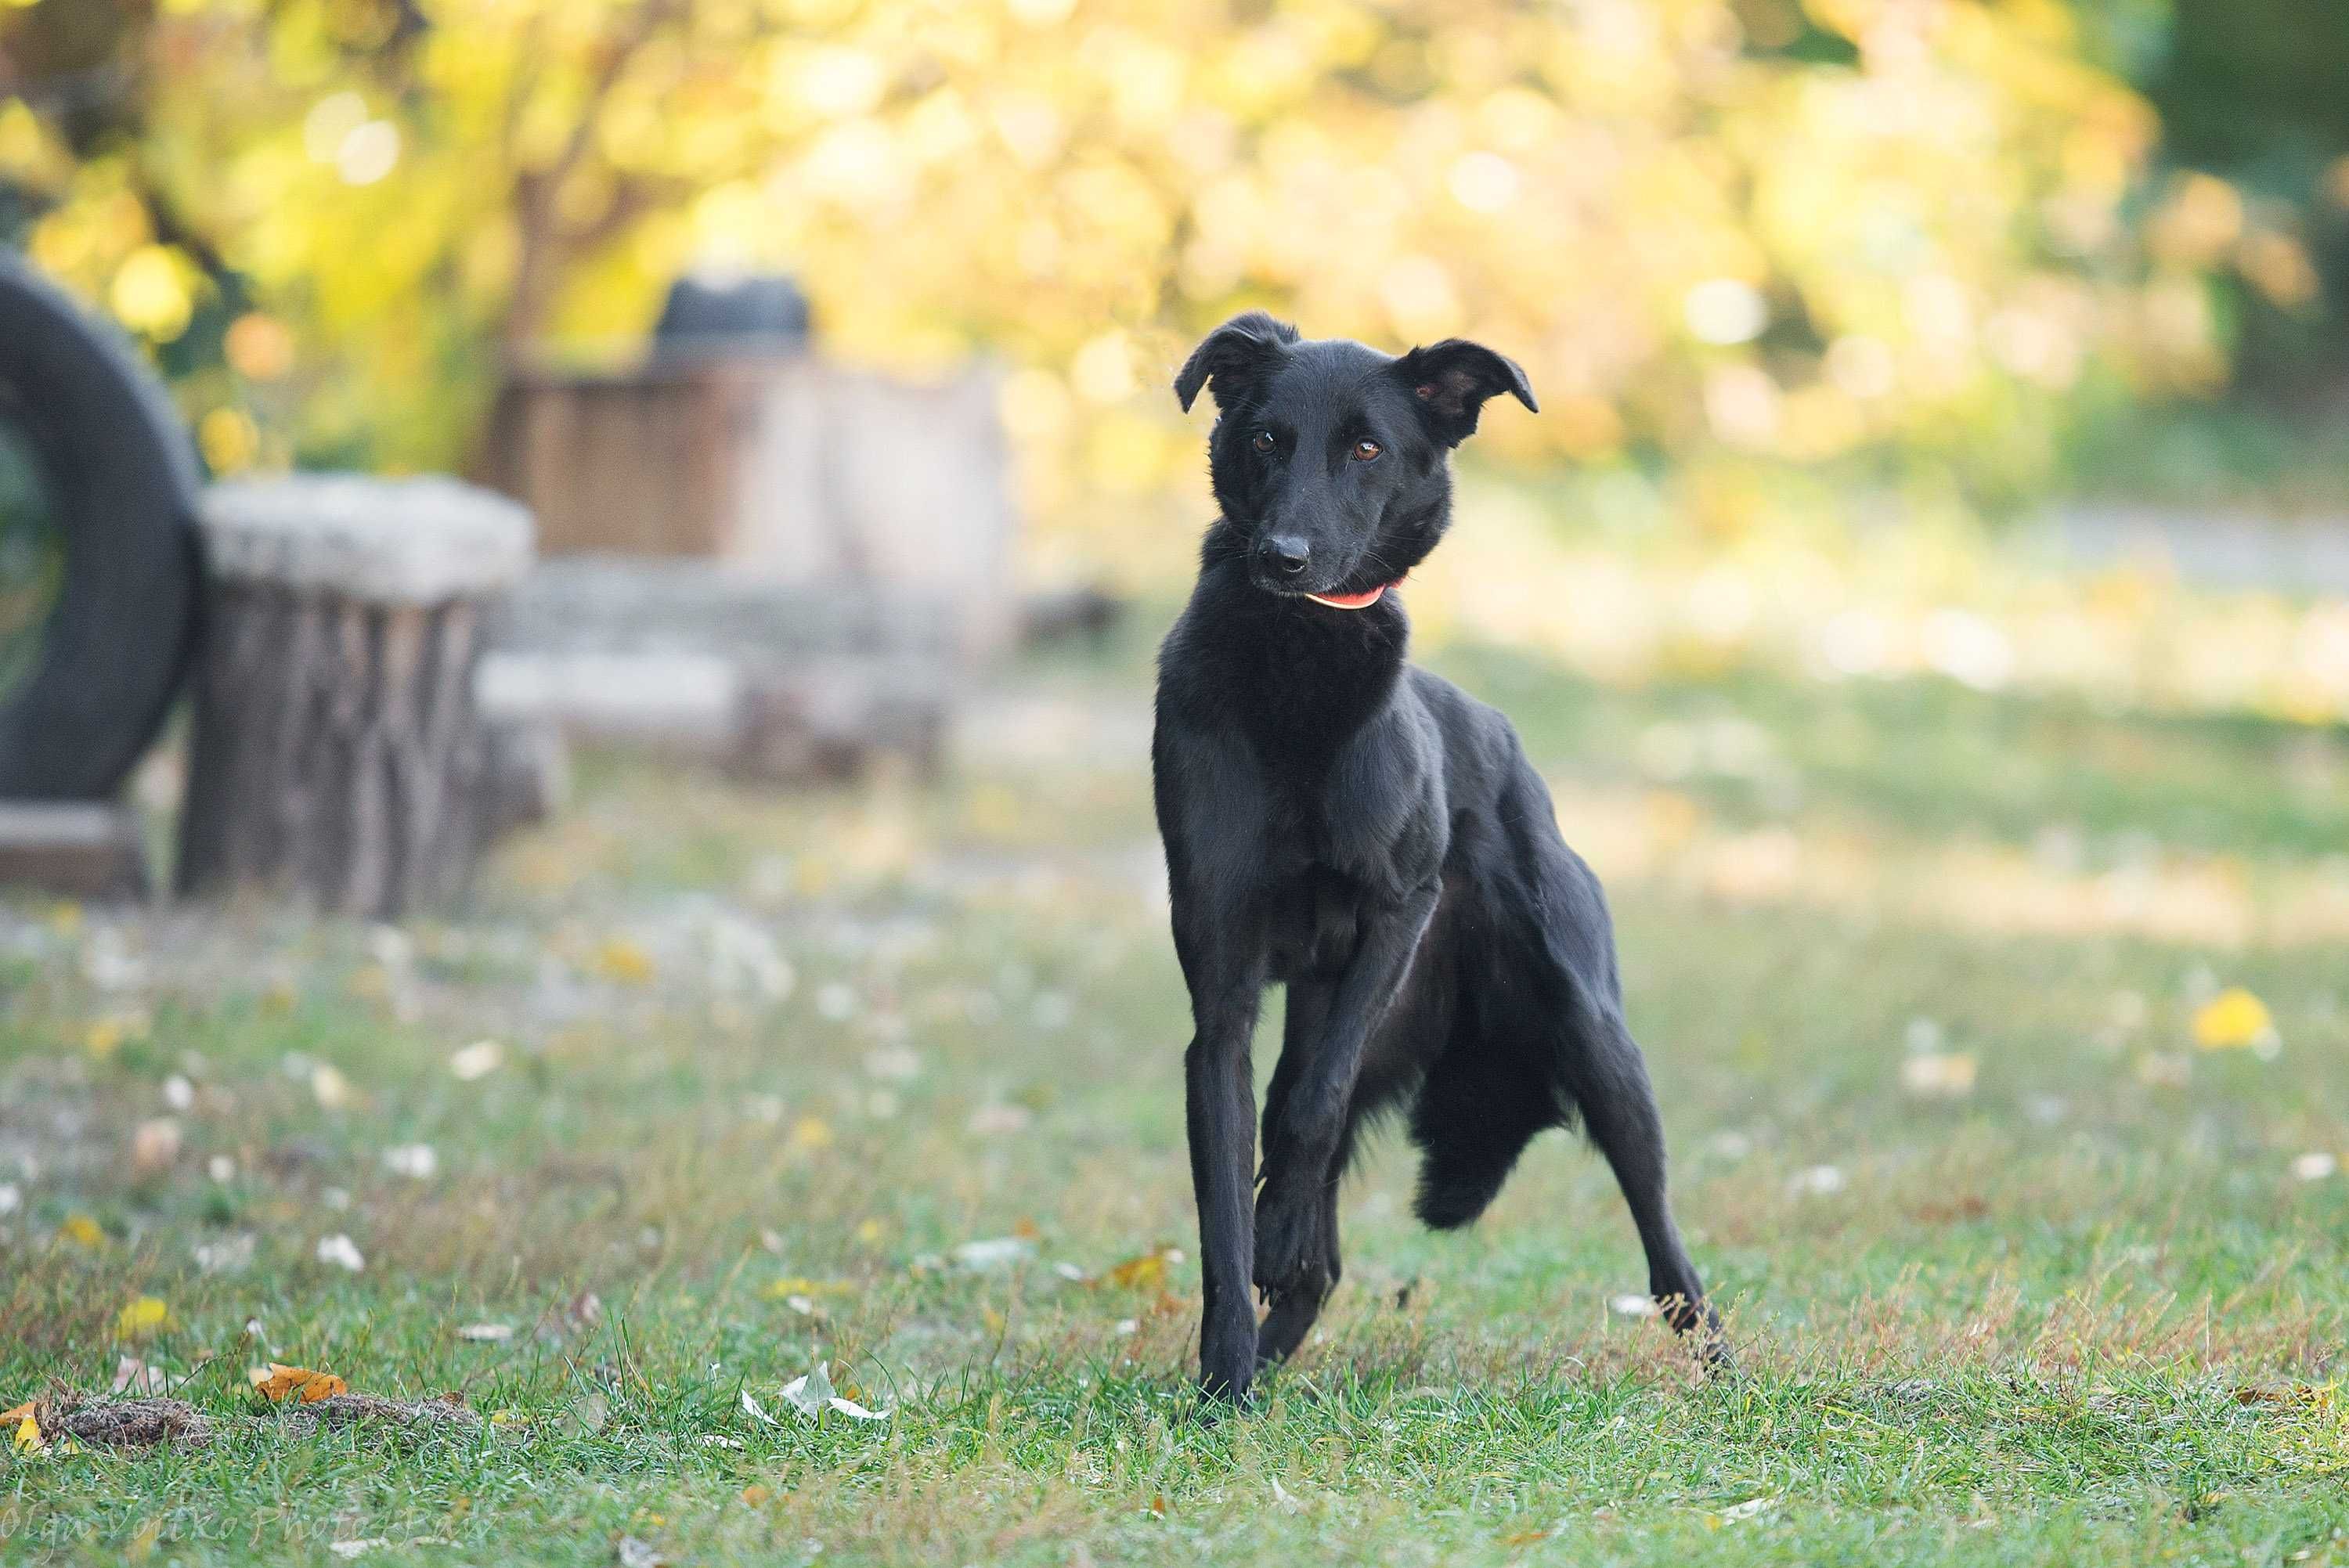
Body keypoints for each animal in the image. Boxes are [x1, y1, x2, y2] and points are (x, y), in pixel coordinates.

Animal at [1151, 309, 1719, 1399]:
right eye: (1266, 439)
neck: (1299, 670)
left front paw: (1274, 1240)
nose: (1283, 557)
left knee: (1672, 1255)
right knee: (1318, 1246)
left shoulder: (1397, 908)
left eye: (1367, 448)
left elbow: (1310, 1112)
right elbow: (1225, 1210)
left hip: (1593, 1037)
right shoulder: (1221, 998)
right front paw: (1224, 1382)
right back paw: (1274, 1346)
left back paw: (1726, 1368)